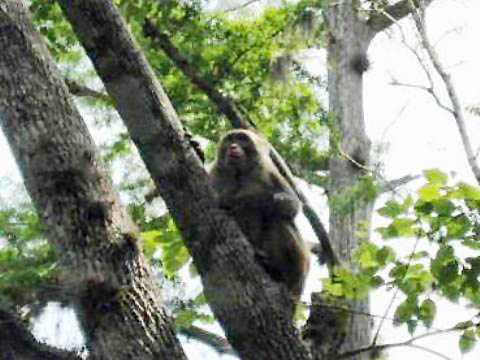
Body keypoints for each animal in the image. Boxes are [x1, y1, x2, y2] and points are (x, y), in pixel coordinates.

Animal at [210, 129, 312, 304]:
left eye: (242, 139)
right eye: (230, 139)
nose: (233, 146)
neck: (239, 174)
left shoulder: (268, 170)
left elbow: (291, 205)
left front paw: (243, 201)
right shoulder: (215, 173)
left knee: (280, 219)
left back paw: (282, 272)